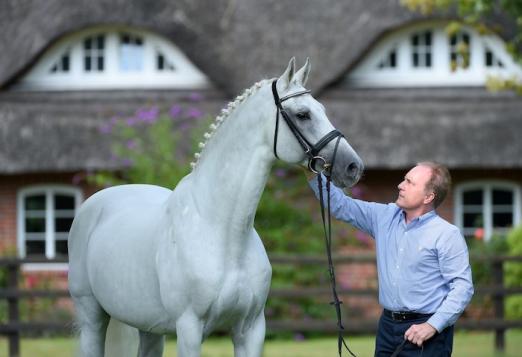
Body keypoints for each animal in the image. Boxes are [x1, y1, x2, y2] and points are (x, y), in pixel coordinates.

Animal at [68, 59, 362, 356]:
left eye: (321, 109)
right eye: (303, 114)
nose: (353, 167)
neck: (222, 231)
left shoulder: (251, 330)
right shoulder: (188, 329)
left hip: (150, 329)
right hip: (92, 318)